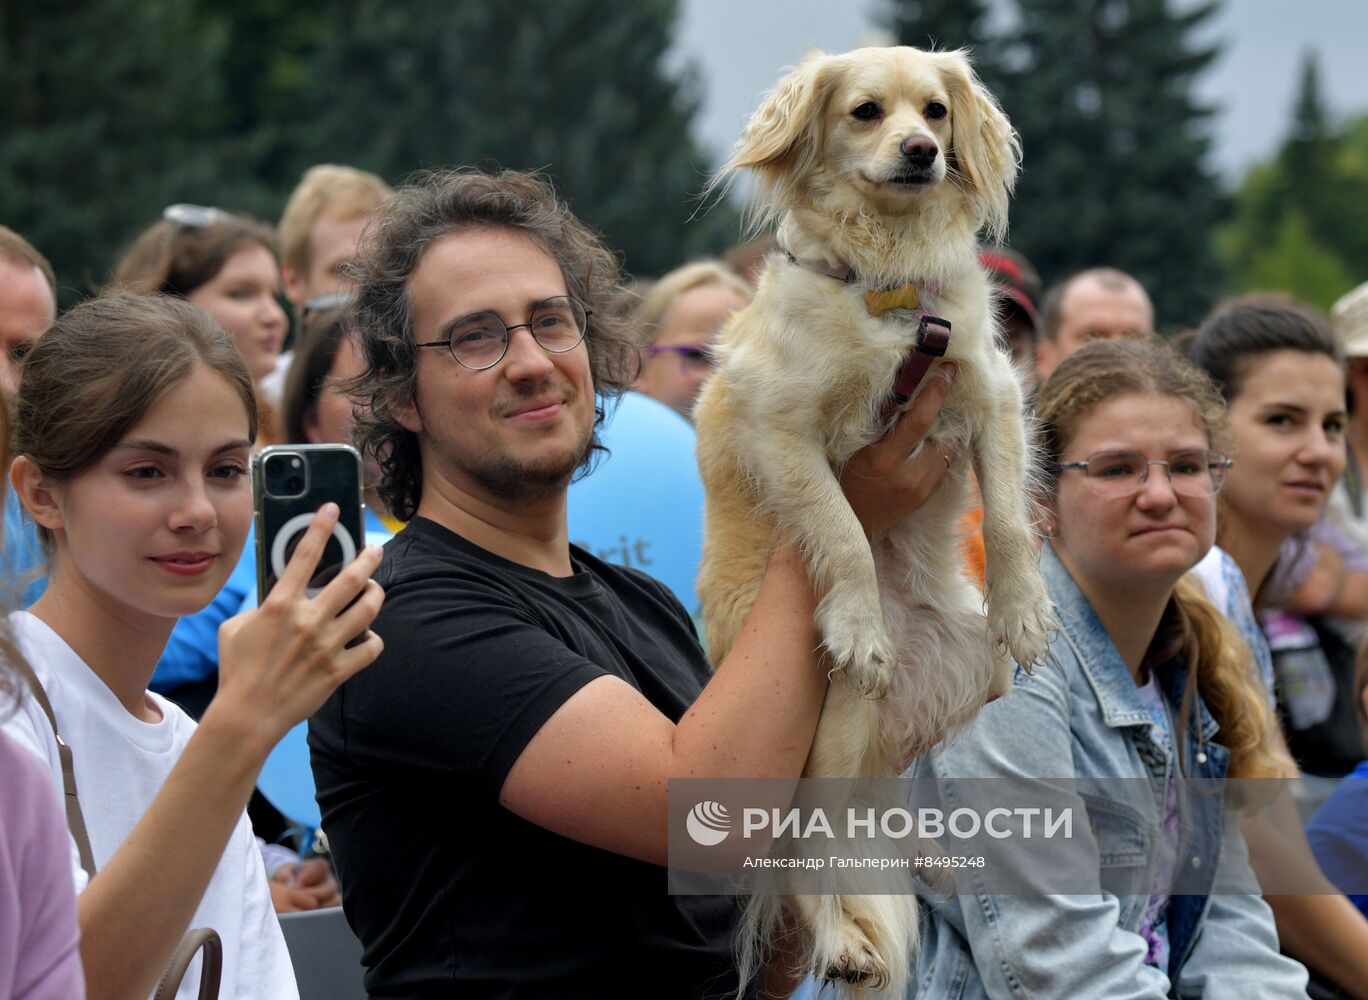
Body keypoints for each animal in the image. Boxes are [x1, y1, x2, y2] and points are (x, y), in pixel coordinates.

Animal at [694, 45, 1056, 995]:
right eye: (865, 113)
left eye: (936, 112)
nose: (922, 151)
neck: (887, 286)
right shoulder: (786, 432)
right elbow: (847, 535)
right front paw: (858, 619)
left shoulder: (992, 396)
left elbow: (1009, 521)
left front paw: (1026, 607)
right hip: (831, 720)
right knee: (809, 844)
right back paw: (842, 940)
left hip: (972, 673)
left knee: (880, 793)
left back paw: (927, 851)